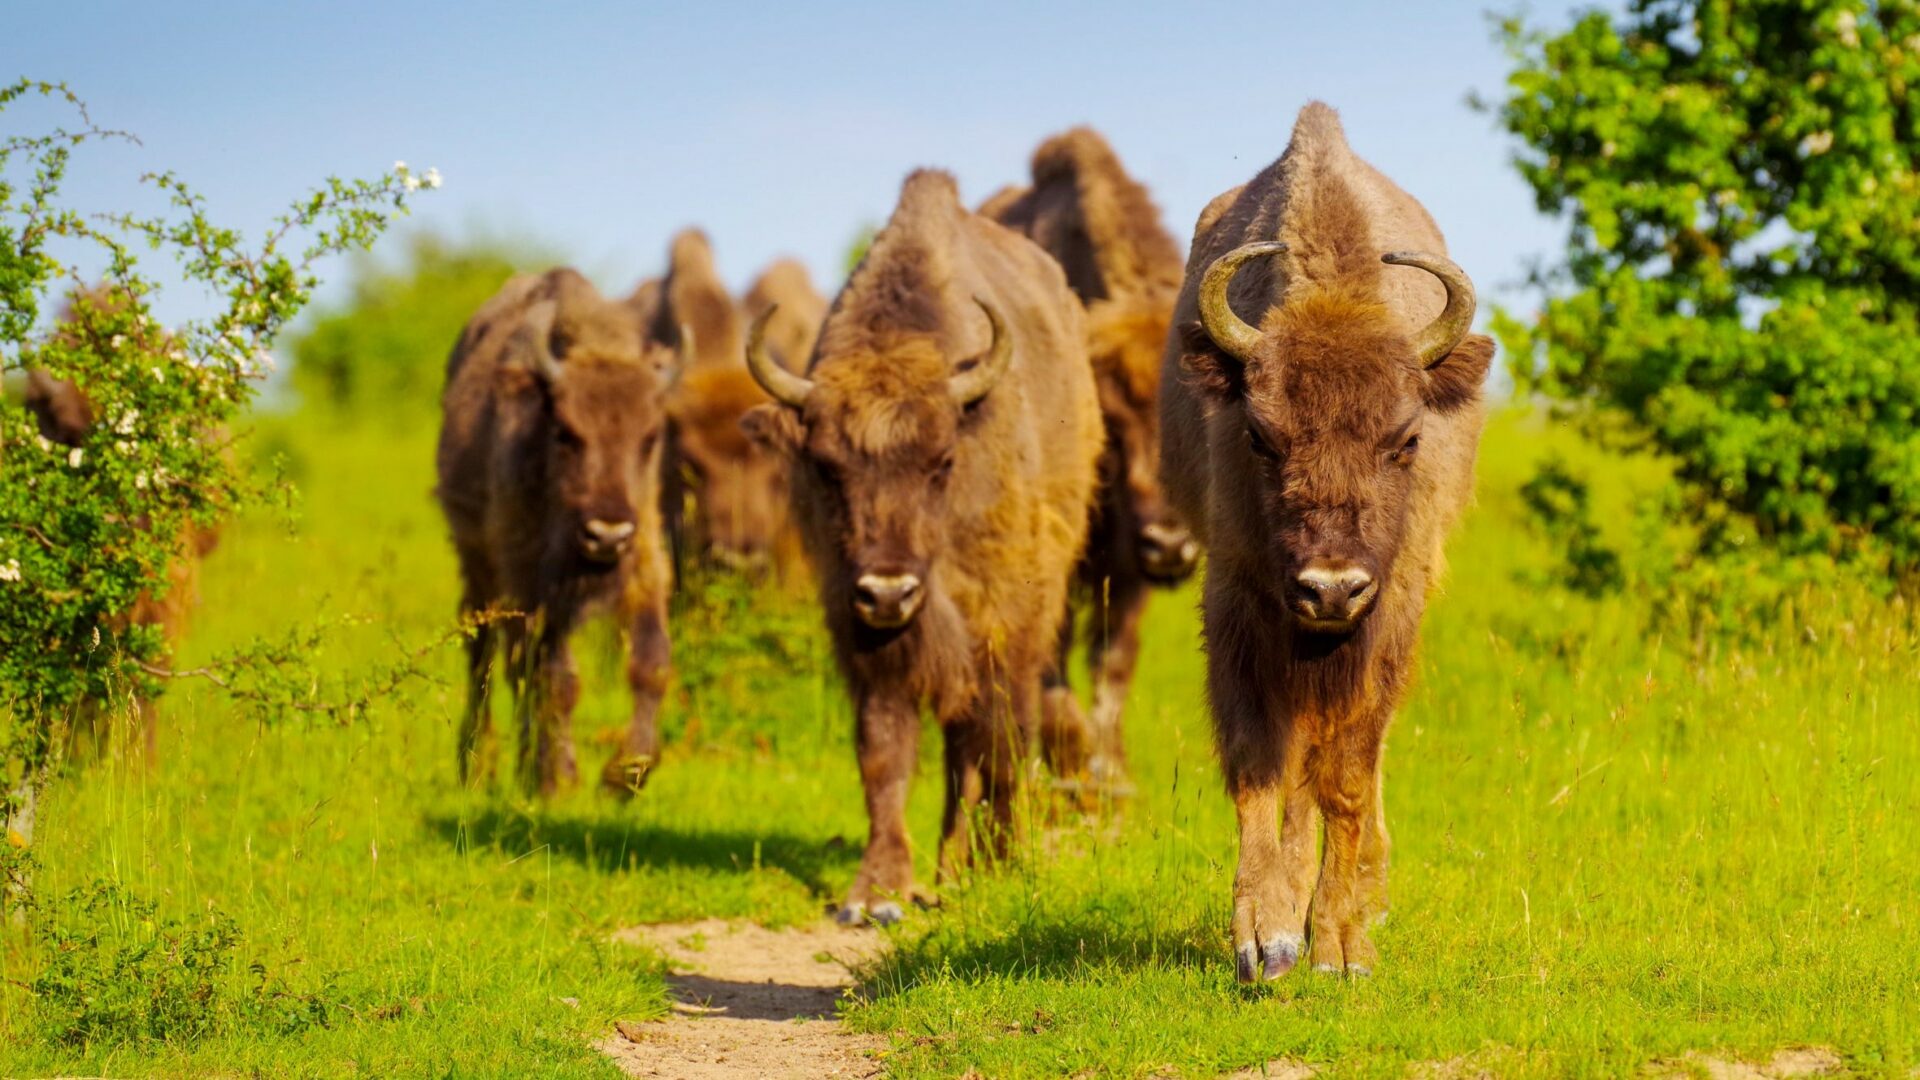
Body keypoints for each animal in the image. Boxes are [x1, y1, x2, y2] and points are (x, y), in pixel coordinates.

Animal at [435, 265, 683, 795]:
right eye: (566, 432)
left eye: (650, 436)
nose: (607, 533)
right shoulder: (531, 588)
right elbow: (556, 679)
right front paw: (561, 780)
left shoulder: (646, 565)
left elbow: (652, 663)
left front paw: (626, 773)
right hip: (478, 568)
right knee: (485, 657)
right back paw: (481, 767)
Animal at [741, 168, 1105, 914]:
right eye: (827, 467)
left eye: (942, 462)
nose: (888, 591)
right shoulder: (865, 636)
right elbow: (884, 747)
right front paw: (877, 890)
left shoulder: (1003, 624)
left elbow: (1000, 740)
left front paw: (999, 867)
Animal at [990, 125, 1198, 799]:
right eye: (1110, 424)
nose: (1171, 545)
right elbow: (1051, 660)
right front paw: (1064, 769)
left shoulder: (1125, 576)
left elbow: (1113, 662)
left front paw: (1112, 776)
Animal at [1152, 105, 1497, 980]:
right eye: (1259, 436)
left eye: (1407, 439)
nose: (1332, 585)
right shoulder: (1240, 598)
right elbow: (1260, 763)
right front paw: (1265, 936)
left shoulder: (1389, 611)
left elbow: (1343, 772)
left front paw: (1341, 945)